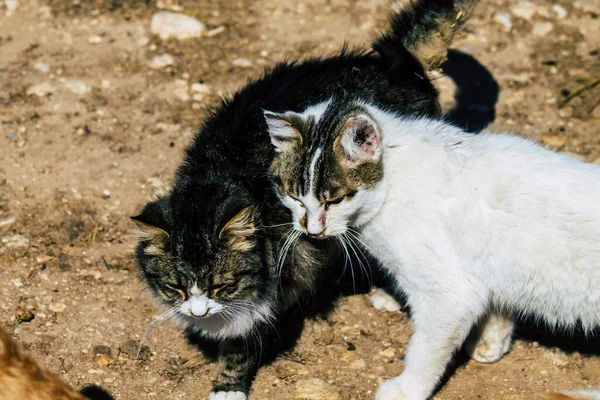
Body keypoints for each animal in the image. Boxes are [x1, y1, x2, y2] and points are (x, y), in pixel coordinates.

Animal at [131, 1, 478, 398]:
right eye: (174, 286)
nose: (197, 312)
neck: (220, 174)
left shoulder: (271, 286)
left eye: (222, 285)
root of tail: (391, 64)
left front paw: (227, 385)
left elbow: (242, 342)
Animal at [266, 95, 600, 398]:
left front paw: (407, 389)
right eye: (294, 197)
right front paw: (490, 344)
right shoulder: (484, 273)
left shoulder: (449, 294)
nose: (312, 229)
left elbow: (425, 351)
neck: (392, 184)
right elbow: (496, 310)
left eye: (335, 200)